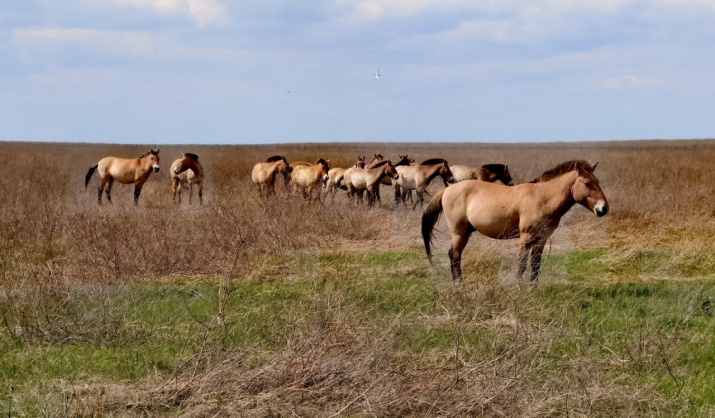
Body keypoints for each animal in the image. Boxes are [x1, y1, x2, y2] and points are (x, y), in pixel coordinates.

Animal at [426, 160, 608, 284]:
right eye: (587, 183)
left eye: (598, 182)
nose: (603, 208)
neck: (542, 198)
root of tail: (448, 189)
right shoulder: (525, 239)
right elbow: (522, 265)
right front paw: (519, 288)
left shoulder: (541, 240)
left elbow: (535, 266)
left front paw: (532, 289)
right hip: (459, 233)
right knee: (455, 255)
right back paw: (459, 285)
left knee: (454, 255)